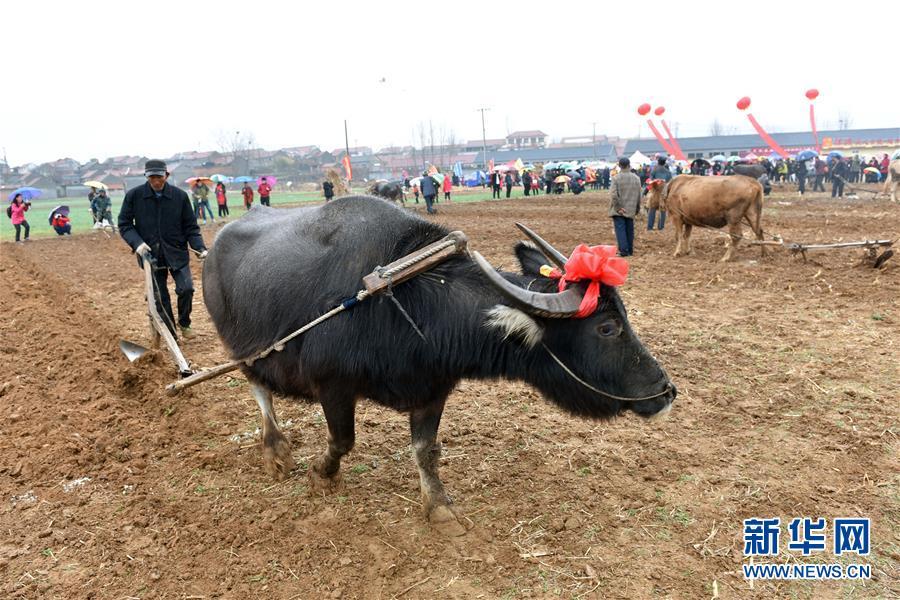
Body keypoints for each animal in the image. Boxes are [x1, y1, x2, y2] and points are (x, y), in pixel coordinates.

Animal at [200, 196, 672, 536]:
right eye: (607, 327)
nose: (666, 392)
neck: (413, 301)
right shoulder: (332, 385)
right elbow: (343, 441)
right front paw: (322, 474)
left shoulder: (432, 390)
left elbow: (426, 450)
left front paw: (441, 508)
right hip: (243, 349)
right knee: (259, 390)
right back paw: (274, 449)